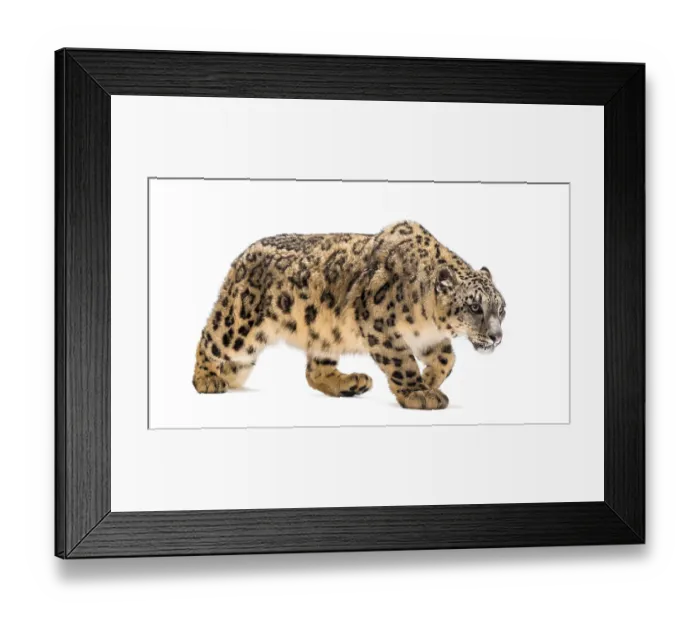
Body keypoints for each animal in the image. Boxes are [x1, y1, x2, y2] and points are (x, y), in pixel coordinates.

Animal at [192, 221, 506, 410]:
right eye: (475, 307)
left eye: (502, 309)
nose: (496, 337)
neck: (429, 324)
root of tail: (241, 258)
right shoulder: (380, 326)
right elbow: (403, 363)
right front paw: (419, 393)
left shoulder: (428, 337)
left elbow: (446, 358)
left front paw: (428, 380)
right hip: (238, 324)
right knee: (210, 338)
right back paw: (207, 379)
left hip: (323, 333)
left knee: (315, 371)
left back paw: (351, 383)